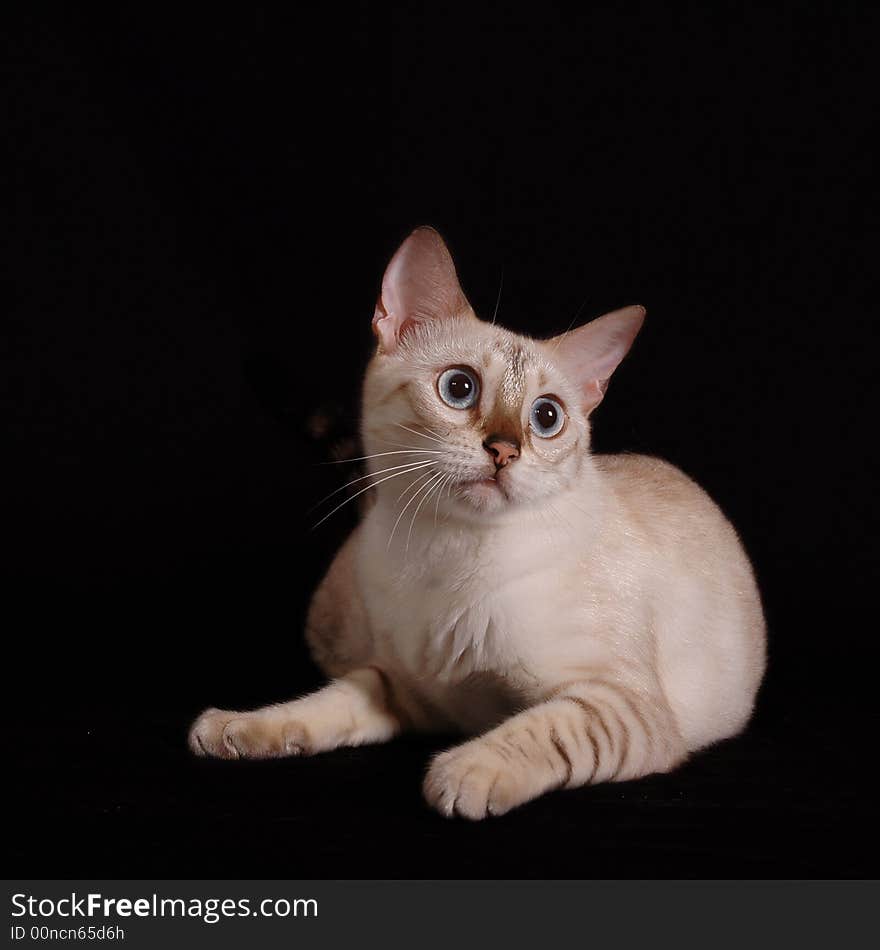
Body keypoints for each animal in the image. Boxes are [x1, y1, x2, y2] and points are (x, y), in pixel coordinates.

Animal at [189, 229, 768, 820]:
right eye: (460, 388)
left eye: (546, 417)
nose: (505, 450)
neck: (442, 552)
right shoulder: (403, 690)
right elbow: (322, 707)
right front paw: (237, 728)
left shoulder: (622, 703)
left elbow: (544, 728)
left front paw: (462, 771)